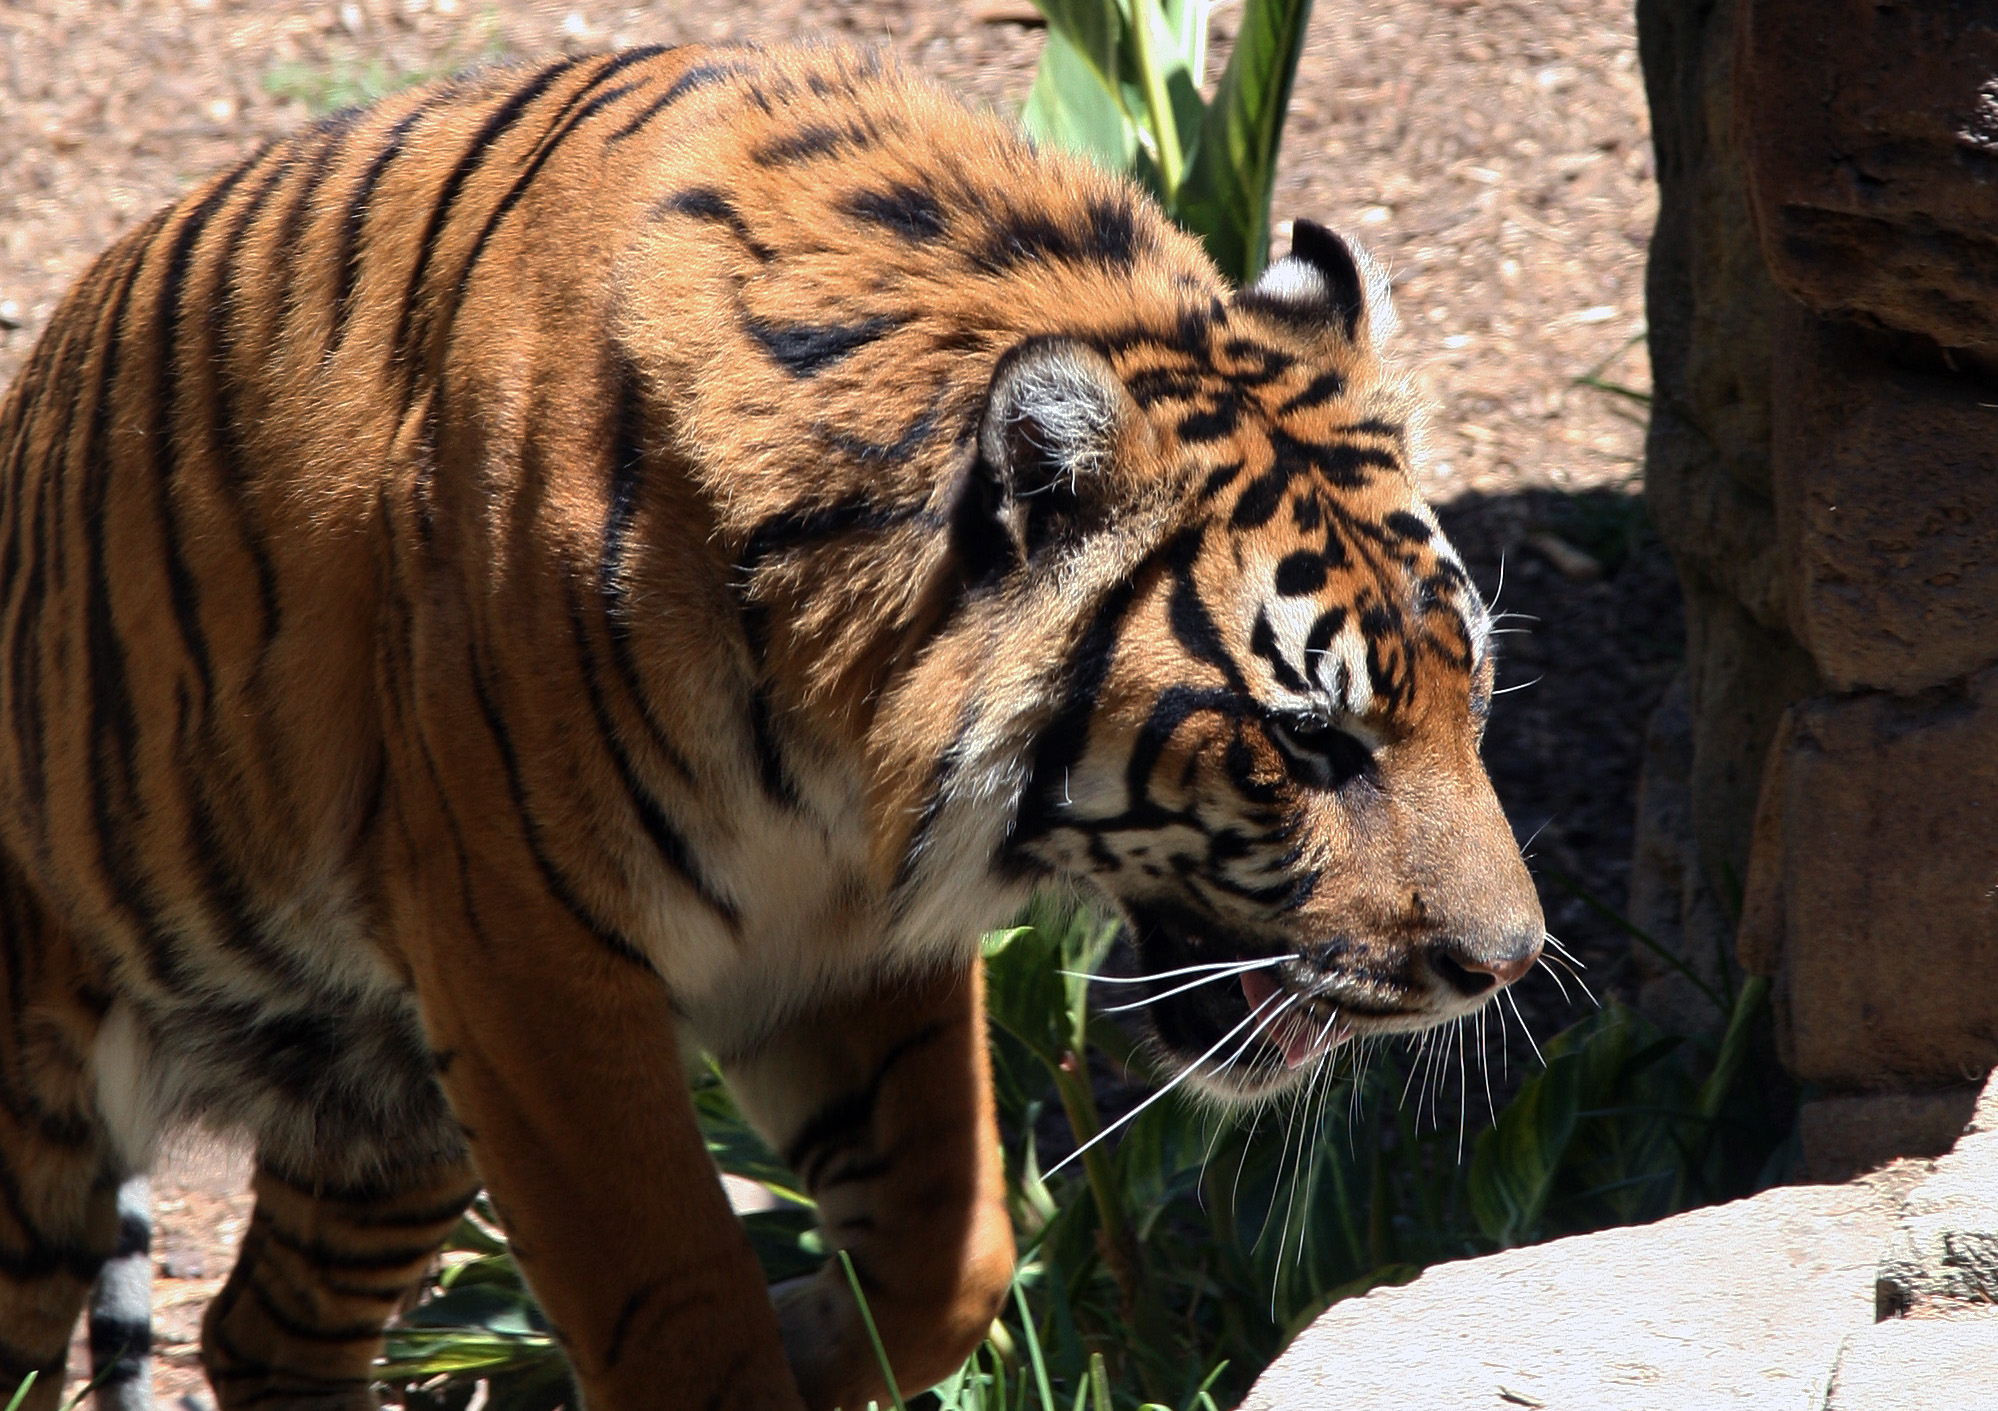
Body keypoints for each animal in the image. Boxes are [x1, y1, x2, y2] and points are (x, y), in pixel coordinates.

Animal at [0, 40, 1544, 1411]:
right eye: (1308, 742)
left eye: (1470, 696)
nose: (1505, 965)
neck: (830, 750)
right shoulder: (531, 970)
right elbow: (679, 1300)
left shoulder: (849, 942)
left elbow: (951, 1248)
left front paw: (816, 1338)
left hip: (379, 1108)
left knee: (261, 1335)